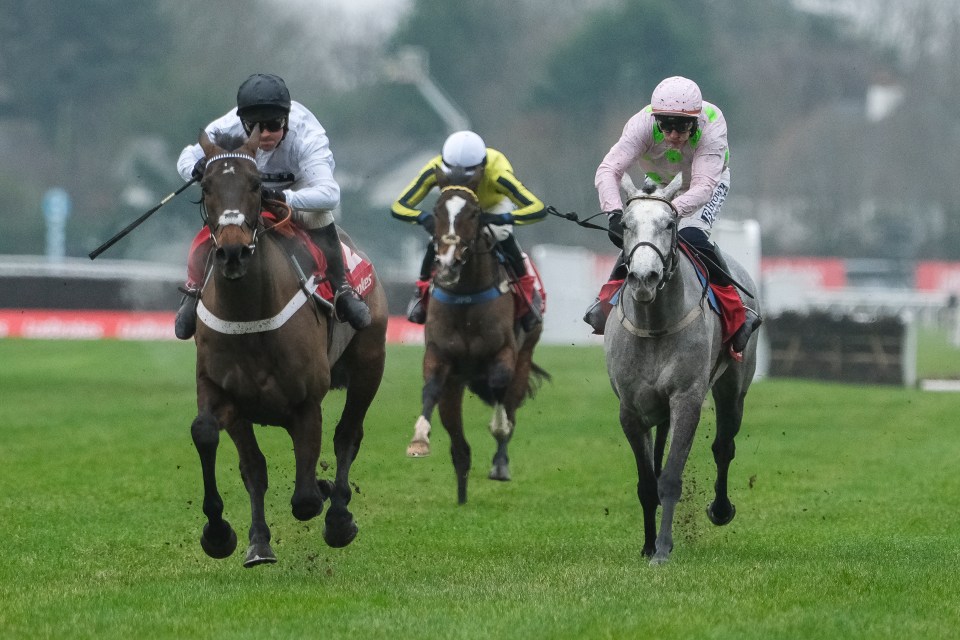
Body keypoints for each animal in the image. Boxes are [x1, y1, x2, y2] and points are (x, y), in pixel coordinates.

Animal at [188, 127, 386, 568]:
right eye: (206, 185)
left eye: (255, 184)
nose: (232, 252)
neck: (250, 318)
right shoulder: (222, 392)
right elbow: (228, 450)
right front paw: (230, 536)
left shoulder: (305, 402)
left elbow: (306, 498)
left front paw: (328, 498)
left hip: (370, 363)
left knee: (348, 435)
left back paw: (339, 515)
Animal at [404, 168, 552, 502]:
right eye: (436, 211)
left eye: (473, 213)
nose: (447, 263)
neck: (466, 295)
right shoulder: (439, 355)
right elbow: (429, 389)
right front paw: (419, 440)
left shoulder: (504, 354)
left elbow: (499, 393)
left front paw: (498, 433)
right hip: (455, 387)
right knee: (460, 448)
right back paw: (461, 494)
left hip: (525, 357)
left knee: (510, 407)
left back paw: (500, 464)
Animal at [608, 171, 756, 564]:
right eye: (624, 224)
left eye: (670, 224)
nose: (644, 277)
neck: (655, 323)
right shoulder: (630, 409)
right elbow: (648, 482)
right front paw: (648, 545)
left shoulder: (686, 399)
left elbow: (671, 477)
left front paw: (662, 549)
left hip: (733, 386)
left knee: (724, 446)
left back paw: (720, 509)